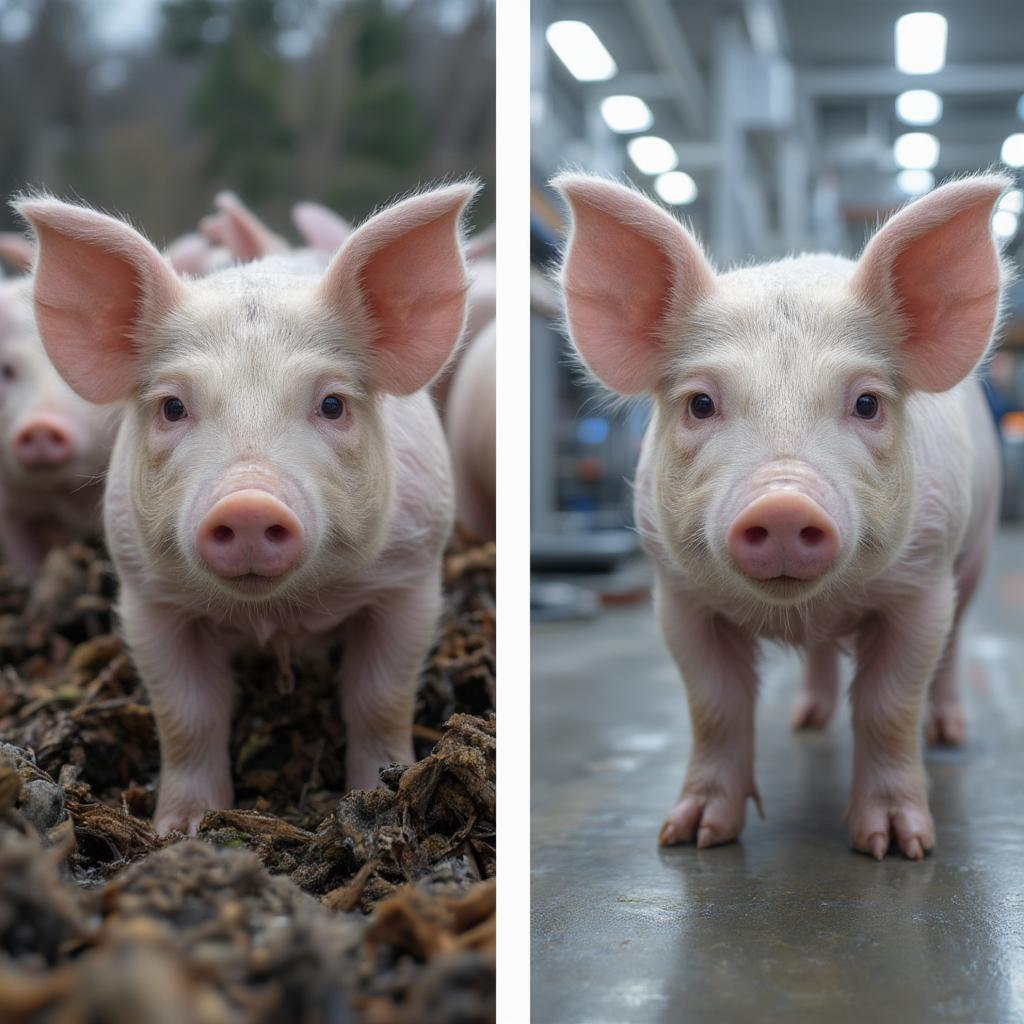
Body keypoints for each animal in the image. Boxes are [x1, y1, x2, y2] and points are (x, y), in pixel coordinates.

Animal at [18, 184, 477, 835]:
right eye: (173, 406)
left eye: (332, 404)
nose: (250, 501)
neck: (275, 615)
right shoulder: (148, 597)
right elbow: (186, 716)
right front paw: (181, 831)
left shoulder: (410, 577)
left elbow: (379, 700)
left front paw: (376, 802)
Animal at [552, 172, 1007, 860]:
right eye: (701, 403)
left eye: (867, 403)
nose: (785, 501)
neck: (801, 609)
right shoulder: (677, 596)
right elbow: (713, 706)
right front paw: (689, 838)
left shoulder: (922, 582)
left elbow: (889, 706)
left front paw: (897, 847)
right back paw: (806, 722)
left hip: (975, 550)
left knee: (954, 647)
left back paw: (949, 734)